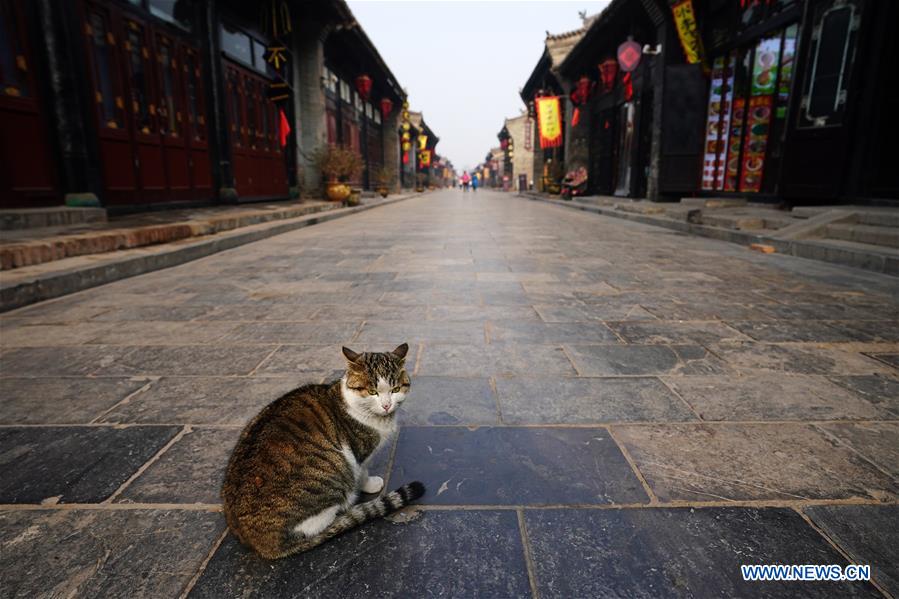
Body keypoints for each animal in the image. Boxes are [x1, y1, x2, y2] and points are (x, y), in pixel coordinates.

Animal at [221, 344, 426, 560]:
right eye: (372, 392)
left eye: (395, 389)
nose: (387, 405)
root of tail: (262, 546)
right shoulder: (358, 454)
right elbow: (362, 472)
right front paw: (371, 484)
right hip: (335, 469)